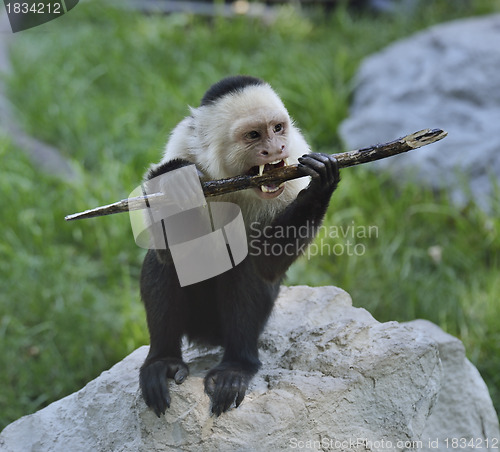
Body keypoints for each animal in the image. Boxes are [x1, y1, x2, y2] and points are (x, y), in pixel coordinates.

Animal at [139, 74, 338, 416]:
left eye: (278, 128)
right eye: (254, 135)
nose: (275, 148)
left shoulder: (294, 164)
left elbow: (267, 265)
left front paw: (320, 186)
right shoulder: (182, 145)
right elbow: (166, 249)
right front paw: (175, 181)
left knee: (245, 267)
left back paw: (236, 366)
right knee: (166, 263)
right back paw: (163, 360)